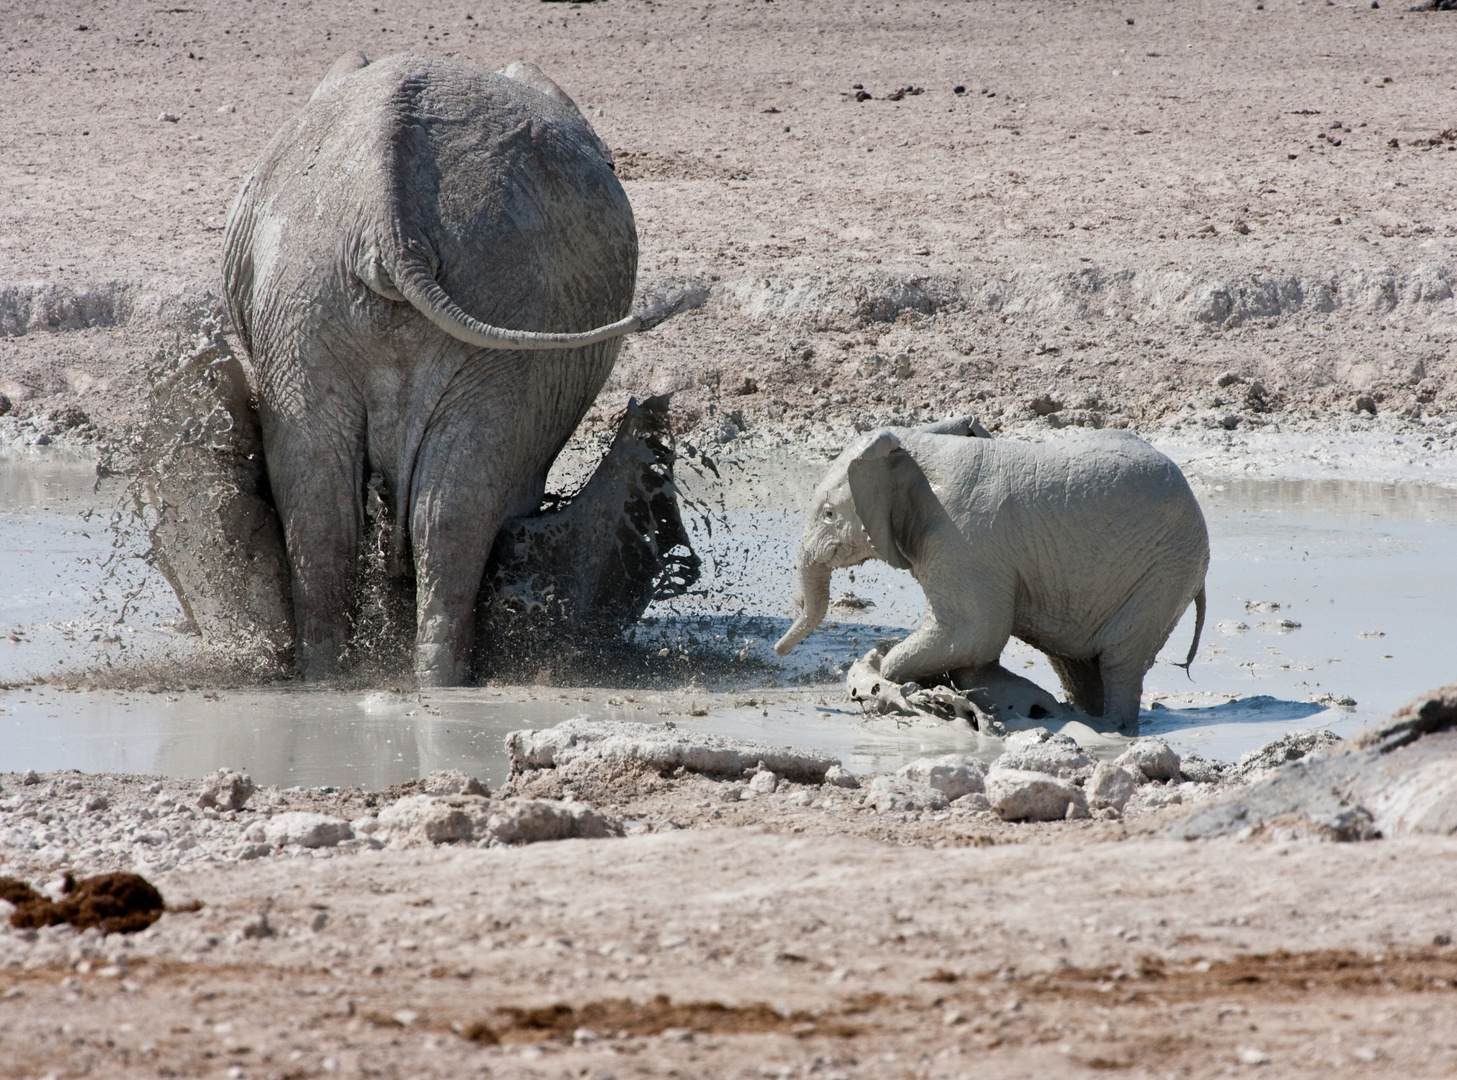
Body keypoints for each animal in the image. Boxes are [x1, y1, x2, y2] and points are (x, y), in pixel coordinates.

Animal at [222, 52, 699, 682]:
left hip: (321, 294)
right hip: (329, 293)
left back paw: (365, 679)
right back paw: (405, 677)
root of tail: (393, 228)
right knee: (415, 506)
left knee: (370, 508)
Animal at [780, 416, 1212, 728]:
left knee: (1120, 659)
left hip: (1167, 567)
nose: (777, 652)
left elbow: (972, 632)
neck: (917, 446)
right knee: (1076, 664)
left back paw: (1109, 728)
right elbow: (973, 647)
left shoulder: (965, 538)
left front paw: (889, 672)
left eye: (829, 515)